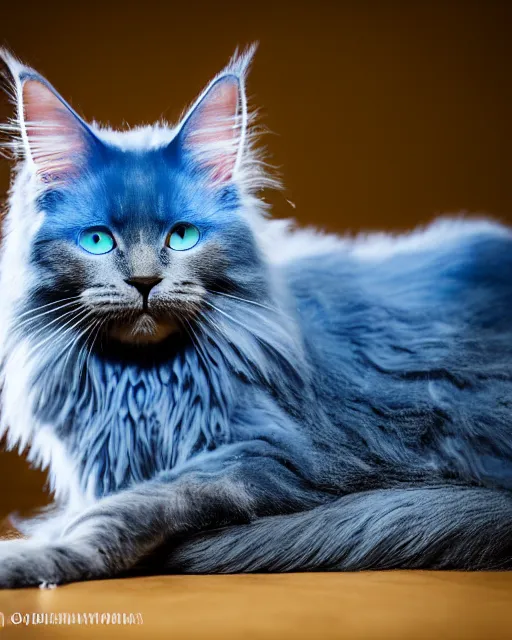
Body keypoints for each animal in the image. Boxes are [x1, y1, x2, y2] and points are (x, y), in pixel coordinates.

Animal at [0, 43, 510, 584]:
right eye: (97, 240)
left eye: (182, 236)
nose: (144, 282)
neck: (146, 384)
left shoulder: (283, 454)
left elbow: (142, 500)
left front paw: (37, 555)